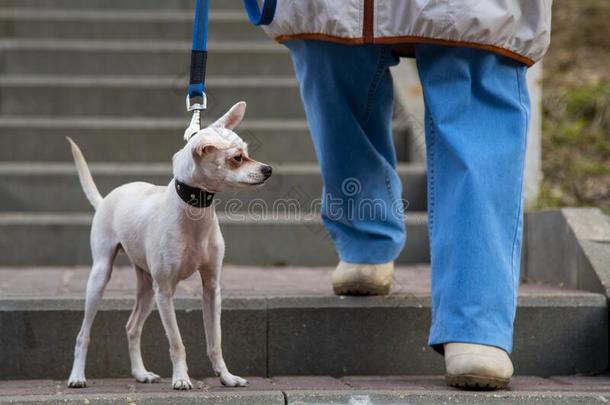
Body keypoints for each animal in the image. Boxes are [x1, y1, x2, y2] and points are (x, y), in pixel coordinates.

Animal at [66, 101, 270, 388]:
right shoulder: (165, 292)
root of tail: (105, 199)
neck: (195, 213)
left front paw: (226, 377)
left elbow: (215, 341)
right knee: (83, 333)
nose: (268, 169)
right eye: (237, 158)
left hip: (146, 287)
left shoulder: (211, 289)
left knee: (132, 327)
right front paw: (181, 378)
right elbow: (176, 343)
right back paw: (77, 376)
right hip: (101, 276)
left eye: (247, 153)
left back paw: (140, 373)